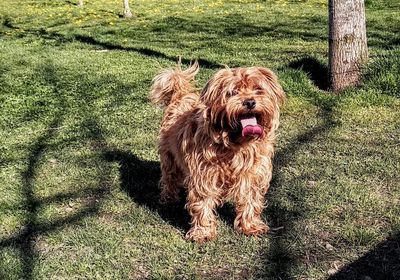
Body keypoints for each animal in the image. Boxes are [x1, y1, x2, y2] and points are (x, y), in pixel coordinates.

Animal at [149, 62, 284, 242]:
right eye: (233, 92)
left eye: (258, 89)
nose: (249, 102)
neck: (236, 143)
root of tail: (181, 95)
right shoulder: (204, 174)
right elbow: (203, 202)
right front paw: (203, 232)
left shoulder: (253, 174)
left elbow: (250, 200)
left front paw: (250, 226)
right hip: (169, 156)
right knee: (169, 178)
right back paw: (169, 198)